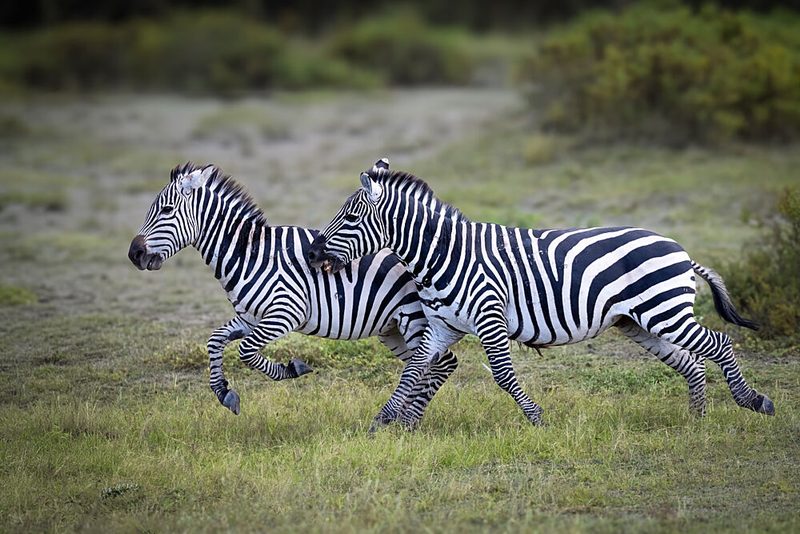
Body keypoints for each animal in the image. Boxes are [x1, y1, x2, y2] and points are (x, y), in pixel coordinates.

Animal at [128, 162, 459, 418]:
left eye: (167, 210)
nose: (134, 254)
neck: (249, 255)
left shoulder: (285, 313)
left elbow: (246, 351)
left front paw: (293, 368)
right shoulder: (249, 317)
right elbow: (214, 340)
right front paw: (223, 392)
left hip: (414, 319)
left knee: (441, 364)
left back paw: (407, 420)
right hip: (392, 329)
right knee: (429, 365)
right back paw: (407, 420)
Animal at [307, 158, 775, 430]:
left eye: (350, 218)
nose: (312, 253)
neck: (441, 255)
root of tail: (680, 249)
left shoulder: (490, 316)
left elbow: (502, 375)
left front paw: (537, 420)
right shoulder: (442, 326)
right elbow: (414, 370)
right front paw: (382, 423)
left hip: (664, 311)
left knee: (720, 343)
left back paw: (752, 401)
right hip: (639, 322)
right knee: (692, 362)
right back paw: (697, 420)